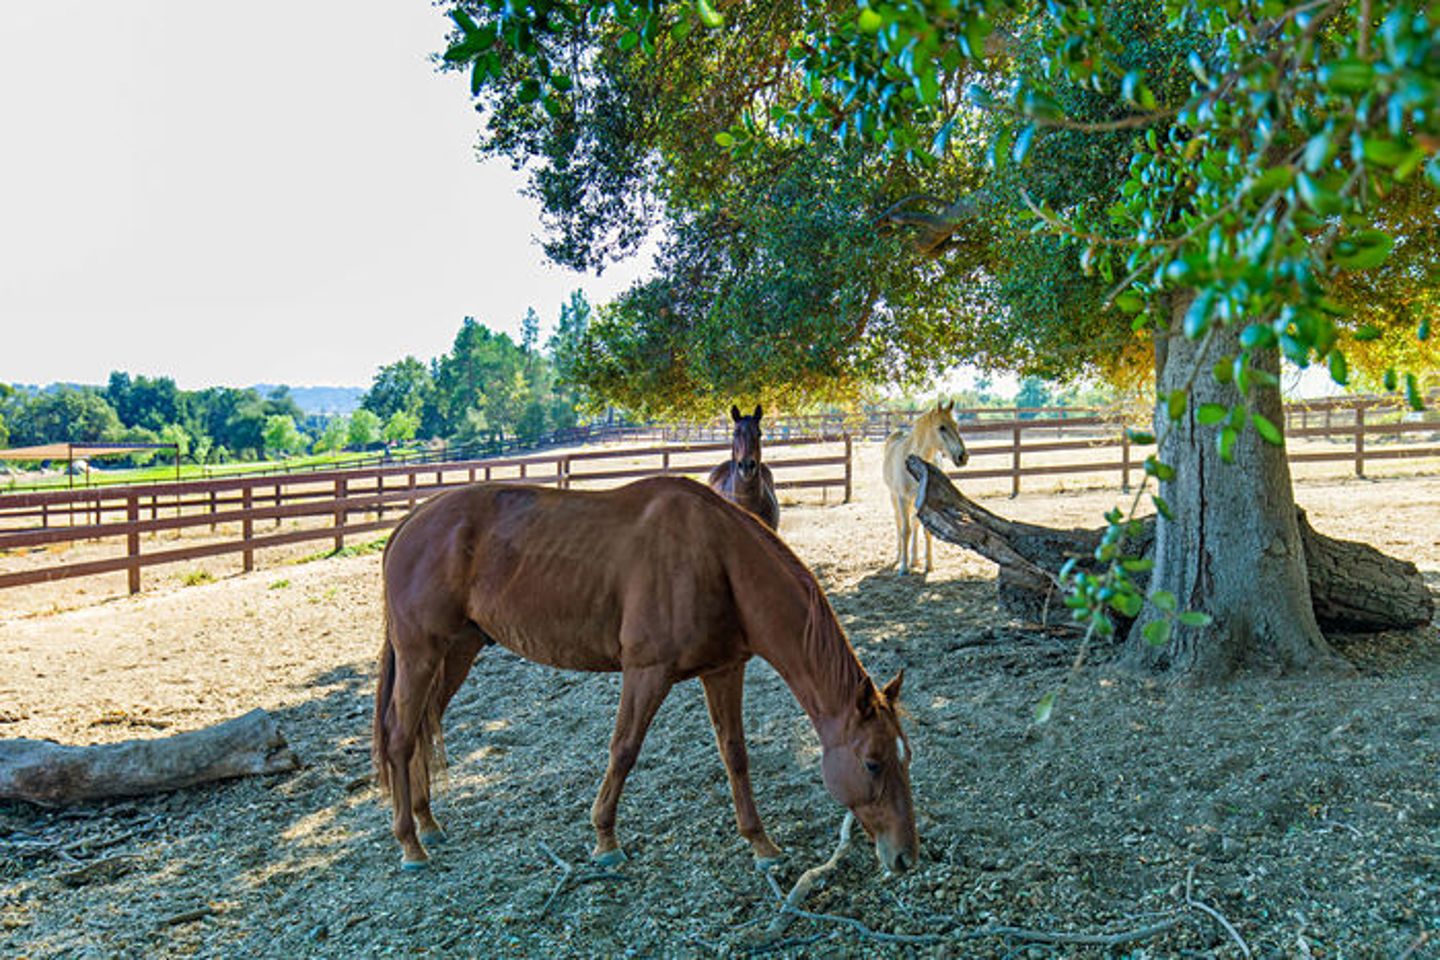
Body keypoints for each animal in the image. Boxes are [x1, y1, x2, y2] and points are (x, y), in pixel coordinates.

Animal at [373, 476, 918, 874]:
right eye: (873, 763)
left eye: (904, 757)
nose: (906, 857)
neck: (716, 556)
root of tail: (411, 520)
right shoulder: (646, 673)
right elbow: (624, 750)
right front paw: (605, 840)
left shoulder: (724, 670)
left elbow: (735, 755)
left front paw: (761, 844)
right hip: (422, 653)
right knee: (400, 737)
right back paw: (410, 846)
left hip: (457, 652)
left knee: (421, 731)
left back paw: (427, 821)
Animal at [882, 400, 969, 575]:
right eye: (942, 427)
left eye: (956, 425)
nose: (963, 457)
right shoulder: (902, 498)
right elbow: (905, 530)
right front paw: (903, 568)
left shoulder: (925, 501)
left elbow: (925, 530)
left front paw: (928, 566)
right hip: (893, 496)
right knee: (899, 523)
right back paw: (900, 556)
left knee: (915, 524)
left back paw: (914, 560)